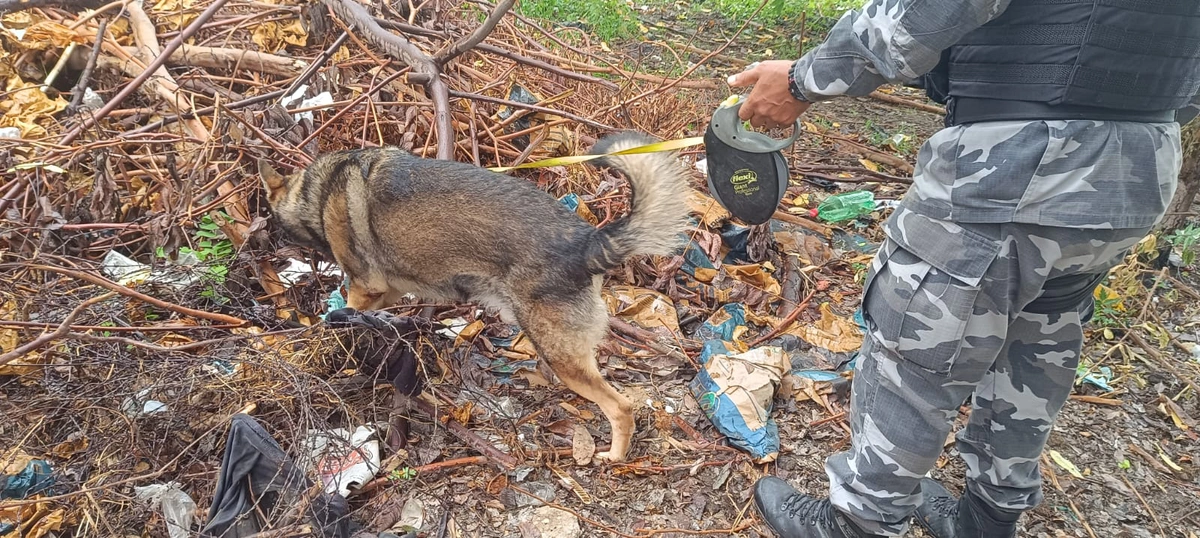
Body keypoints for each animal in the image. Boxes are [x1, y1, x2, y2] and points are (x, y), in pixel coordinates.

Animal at [260, 132, 696, 461]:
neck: (317, 193)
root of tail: (588, 242)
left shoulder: (367, 287)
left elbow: (348, 312)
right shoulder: (387, 290)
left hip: (563, 353)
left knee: (620, 407)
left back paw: (615, 455)